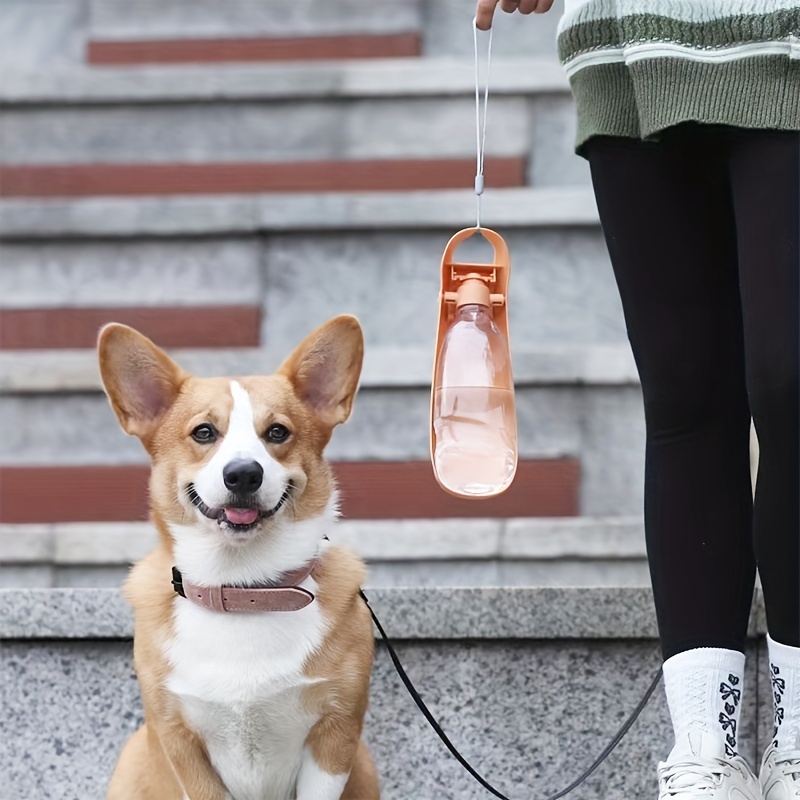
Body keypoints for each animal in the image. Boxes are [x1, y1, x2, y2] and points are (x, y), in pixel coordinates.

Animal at [100, 316, 382, 800]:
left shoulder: (336, 733)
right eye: (204, 433)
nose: (245, 474)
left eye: (277, 433)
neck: (243, 585)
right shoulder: (180, 739)